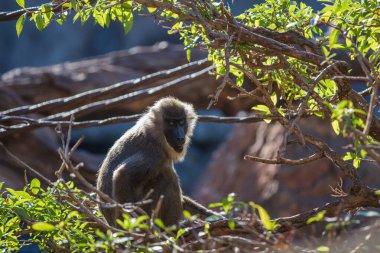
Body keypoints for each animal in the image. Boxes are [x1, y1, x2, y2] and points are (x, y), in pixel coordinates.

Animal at [96, 96, 218, 226]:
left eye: (181, 122)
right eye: (171, 123)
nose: (180, 137)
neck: (156, 135)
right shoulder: (154, 154)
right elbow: (121, 175)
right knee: (169, 177)